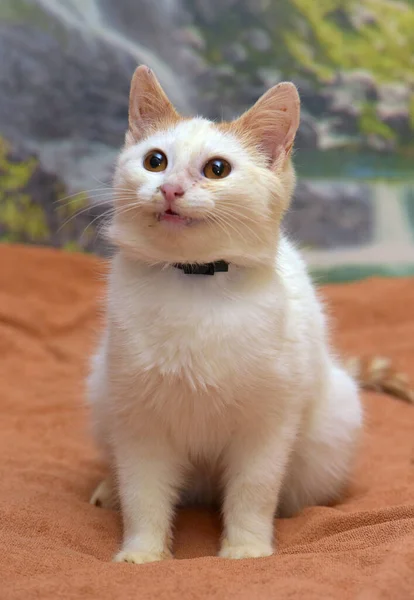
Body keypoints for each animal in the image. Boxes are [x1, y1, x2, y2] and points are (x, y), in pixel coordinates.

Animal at [85, 65, 412, 564]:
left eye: (217, 169)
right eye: (155, 161)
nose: (170, 188)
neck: (195, 283)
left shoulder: (267, 425)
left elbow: (253, 491)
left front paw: (246, 549)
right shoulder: (138, 421)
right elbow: (143, 492)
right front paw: (142, 552)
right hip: (103, 391)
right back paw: (110, 490)